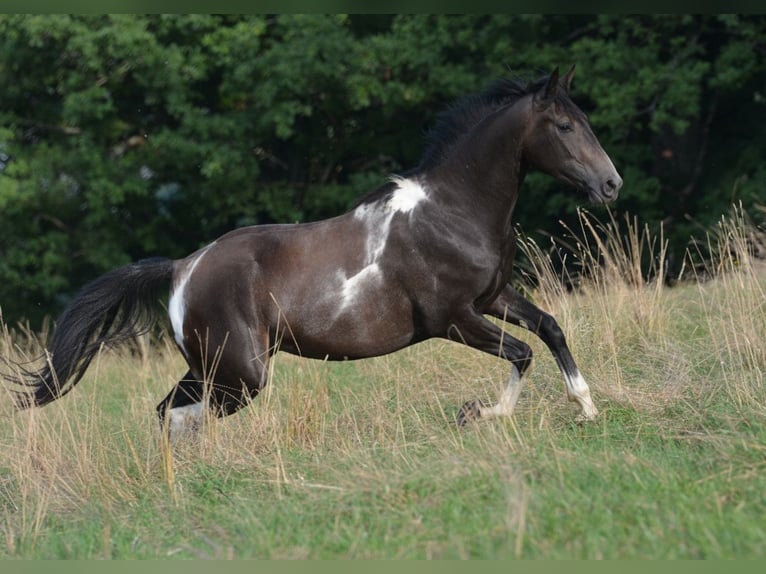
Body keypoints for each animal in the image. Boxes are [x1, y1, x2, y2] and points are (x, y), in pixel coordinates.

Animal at [5, 66, 622, 438]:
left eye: (584, 120)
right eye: (564, 126)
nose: (611, 185)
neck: (453, 210)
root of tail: (182, 268)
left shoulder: (494, 297)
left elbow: (549, 330)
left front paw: (588, 407)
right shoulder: (454, 319)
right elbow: (522, 352)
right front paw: (478, 413)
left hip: (216, 369)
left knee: (170, 413)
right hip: (239, 376)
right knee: (181, 416)